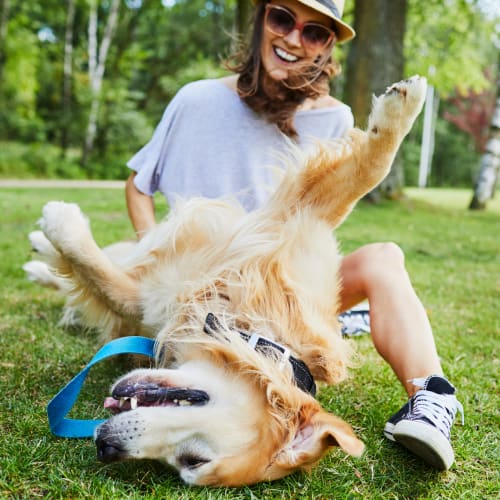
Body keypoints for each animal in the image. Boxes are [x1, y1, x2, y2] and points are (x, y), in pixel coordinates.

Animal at [24, 76, 426, 486]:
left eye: (190, 461)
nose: (106, 446)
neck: (247, 323)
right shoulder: (296, 220)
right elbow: (368, 172)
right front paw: (402, 107)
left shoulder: (144, 303)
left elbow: (102, 281)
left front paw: (61, 225)